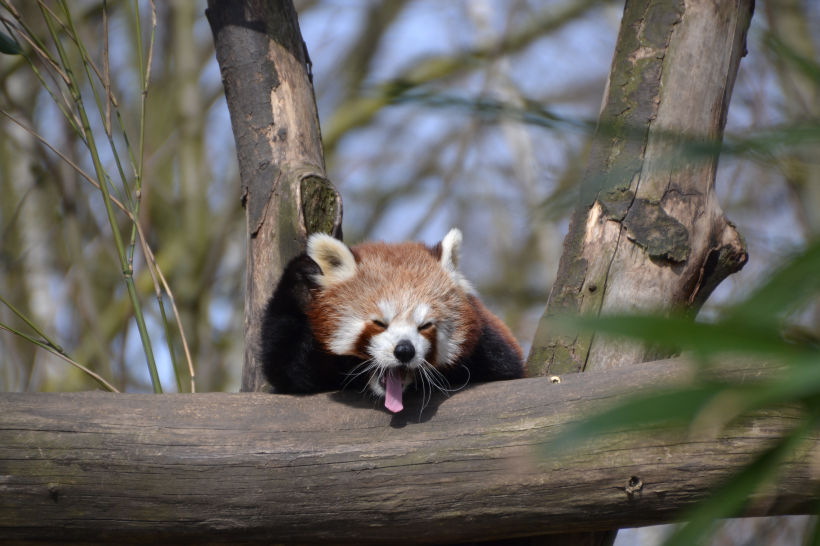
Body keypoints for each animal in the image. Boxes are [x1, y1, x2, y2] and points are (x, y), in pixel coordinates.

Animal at [262, 227, 524, 410]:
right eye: (379, 323)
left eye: (424, 326)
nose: (405, 350)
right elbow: (288, 372)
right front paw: (304, 275)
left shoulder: (490, 346)